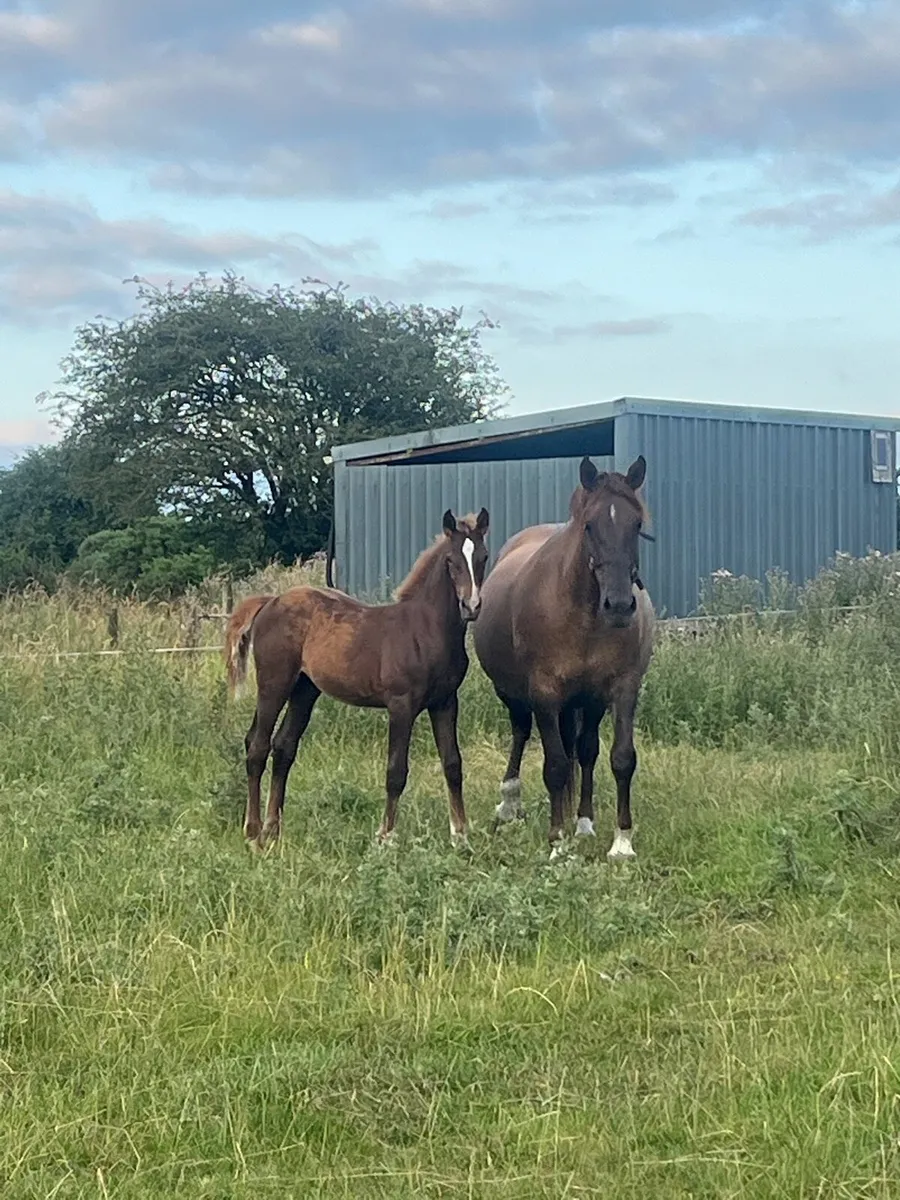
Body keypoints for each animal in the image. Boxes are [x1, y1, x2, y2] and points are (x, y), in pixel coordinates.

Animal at [224, 508, 490, 850]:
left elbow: (453, 764)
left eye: (483, 556)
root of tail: (270, 602)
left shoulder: (445, 702)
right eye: (450, 560)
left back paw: (273, 828)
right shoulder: (401, 706)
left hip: (304, 690)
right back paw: (253, 832)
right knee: (257, 746)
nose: (471, 606)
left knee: (283, 747)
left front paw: (461, 835)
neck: (426, 629)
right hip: (274, 684)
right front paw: (385, 836)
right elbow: (396, 771)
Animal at [472, 455, 655, 860]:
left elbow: (620, 758)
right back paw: (509, 804)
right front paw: (556, 841)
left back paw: (583, 823)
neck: (582, 616)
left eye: (637, 524)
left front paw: (621, 842)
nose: (620, 605)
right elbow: (555, 764)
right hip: (513, 695)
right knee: (520, 734)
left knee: (585, 751)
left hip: (587, 702)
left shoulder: (620, 690)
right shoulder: (545, 695)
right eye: (589, 525)